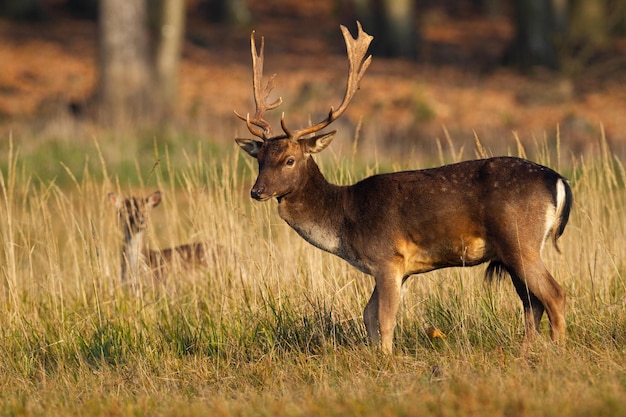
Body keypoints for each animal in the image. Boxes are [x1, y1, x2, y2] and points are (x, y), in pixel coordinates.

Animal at [233, 22, 572, 352]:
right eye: (259, 159)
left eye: (289, 160)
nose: (257, 191)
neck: (345, 221)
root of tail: (558, 180)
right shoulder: (395, 267)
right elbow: (368, 315)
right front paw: (376, 355)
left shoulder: (388, 257)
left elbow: (384, 318)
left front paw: (387, 358)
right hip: (512, 249)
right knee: (532, 303)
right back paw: (526, 352)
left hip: (519, 238)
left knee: (554, 294)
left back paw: (557, 351)